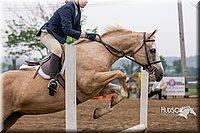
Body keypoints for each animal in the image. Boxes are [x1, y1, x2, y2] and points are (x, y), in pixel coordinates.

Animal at [0, 26, 163, 132]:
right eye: (153, 50)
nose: (160, 74)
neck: (98, 52)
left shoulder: (95, 89)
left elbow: (120, 91)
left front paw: (102, 109)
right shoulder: (90, 82)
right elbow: (120, 74)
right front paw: (105, 107)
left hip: (12, 117)